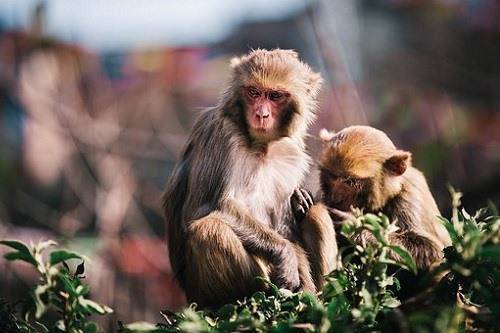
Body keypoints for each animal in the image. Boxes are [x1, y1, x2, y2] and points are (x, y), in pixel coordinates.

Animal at [162, 49, 338, 308]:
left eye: (275, 96)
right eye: (254, 92)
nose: (261, 114)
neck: (260, 147)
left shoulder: (290, 155)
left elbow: (285, 228)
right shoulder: (219, 133)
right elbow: (202, 208)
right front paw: (284, 254)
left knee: (316, 211)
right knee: (211, 229)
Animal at [318, 126, 452, 272]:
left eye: (349, 182)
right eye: (332, 176)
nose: (335, 198)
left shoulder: (409, 197)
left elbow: (434, 250)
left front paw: (354, 226)